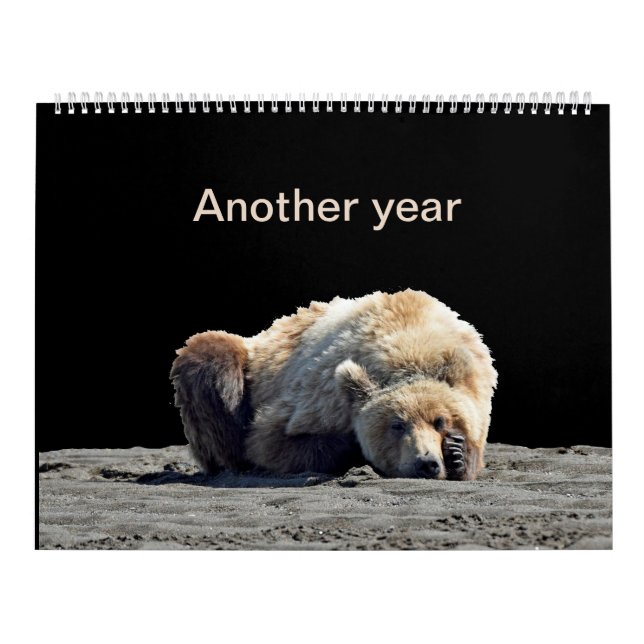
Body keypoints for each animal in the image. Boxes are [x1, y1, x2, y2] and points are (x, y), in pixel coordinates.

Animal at [170, 290, 497, 480]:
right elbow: (269, 441)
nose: (426, 463)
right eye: (396, 424)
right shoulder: (322, 395)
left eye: (440, 420)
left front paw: (457, 453)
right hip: (245, 367)